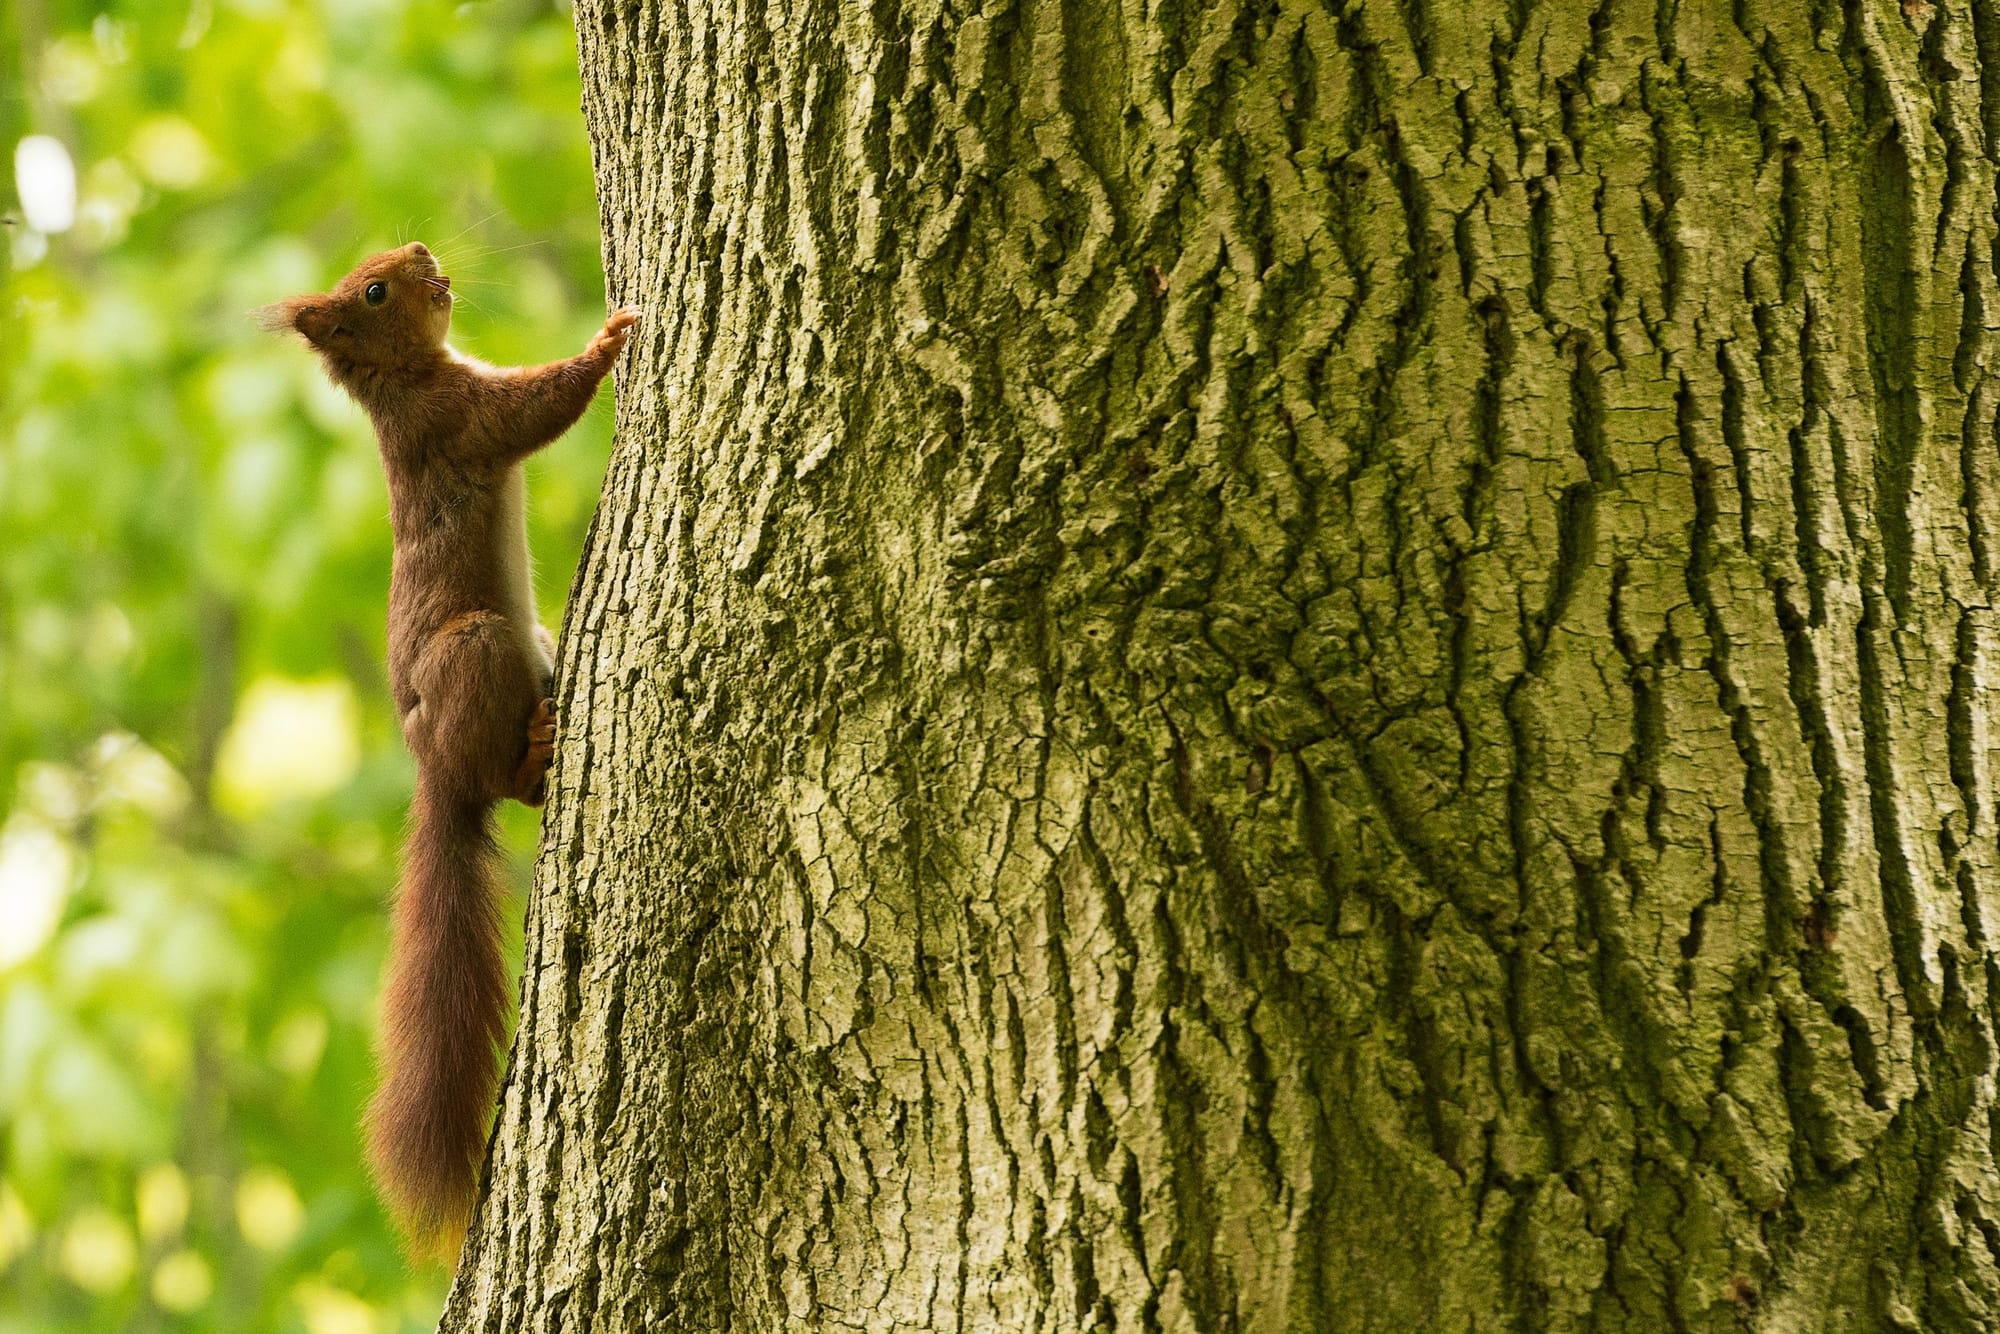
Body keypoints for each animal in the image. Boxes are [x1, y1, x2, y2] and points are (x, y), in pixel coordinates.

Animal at [260, 245, 632, 1256]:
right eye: (374, 290)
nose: (425, 254)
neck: (405, 382)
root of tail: (435, 769)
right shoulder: (461, 420)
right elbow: (538, 408)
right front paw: (609, 339)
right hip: (480, 648)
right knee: (506, 784)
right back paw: (534, 752)